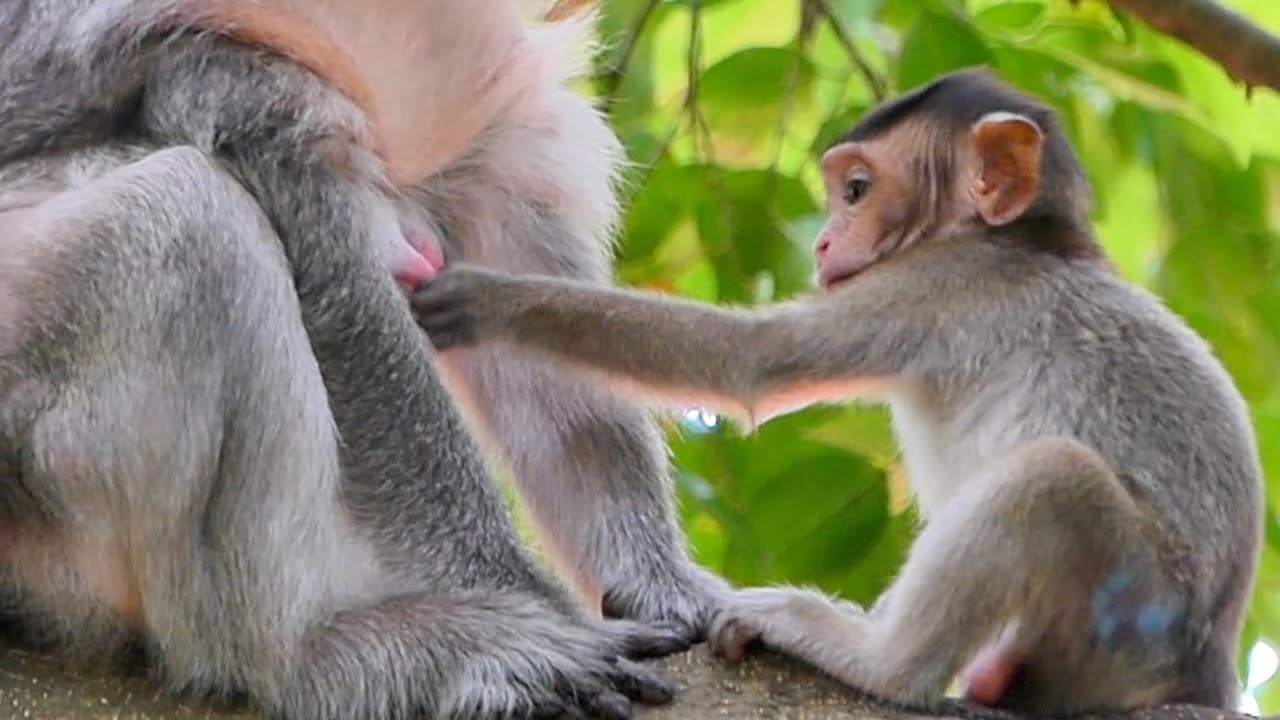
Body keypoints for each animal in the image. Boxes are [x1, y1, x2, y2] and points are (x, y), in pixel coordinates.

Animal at [0, 1, 704, 718]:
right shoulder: (216, 62)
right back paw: (302, 658)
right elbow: (334, 273)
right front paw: (529, 598)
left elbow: (534, 330)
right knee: (192, 218)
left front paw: (669, 586)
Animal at [409, 67, 1264, 716]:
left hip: (1128, 616)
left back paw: (871, 657)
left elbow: (749, 359)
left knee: (1050, 477)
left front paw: (486, 300)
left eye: (856, 190)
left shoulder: (937, 286)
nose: (823, 241)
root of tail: (1205, 667)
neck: (1020, 237)